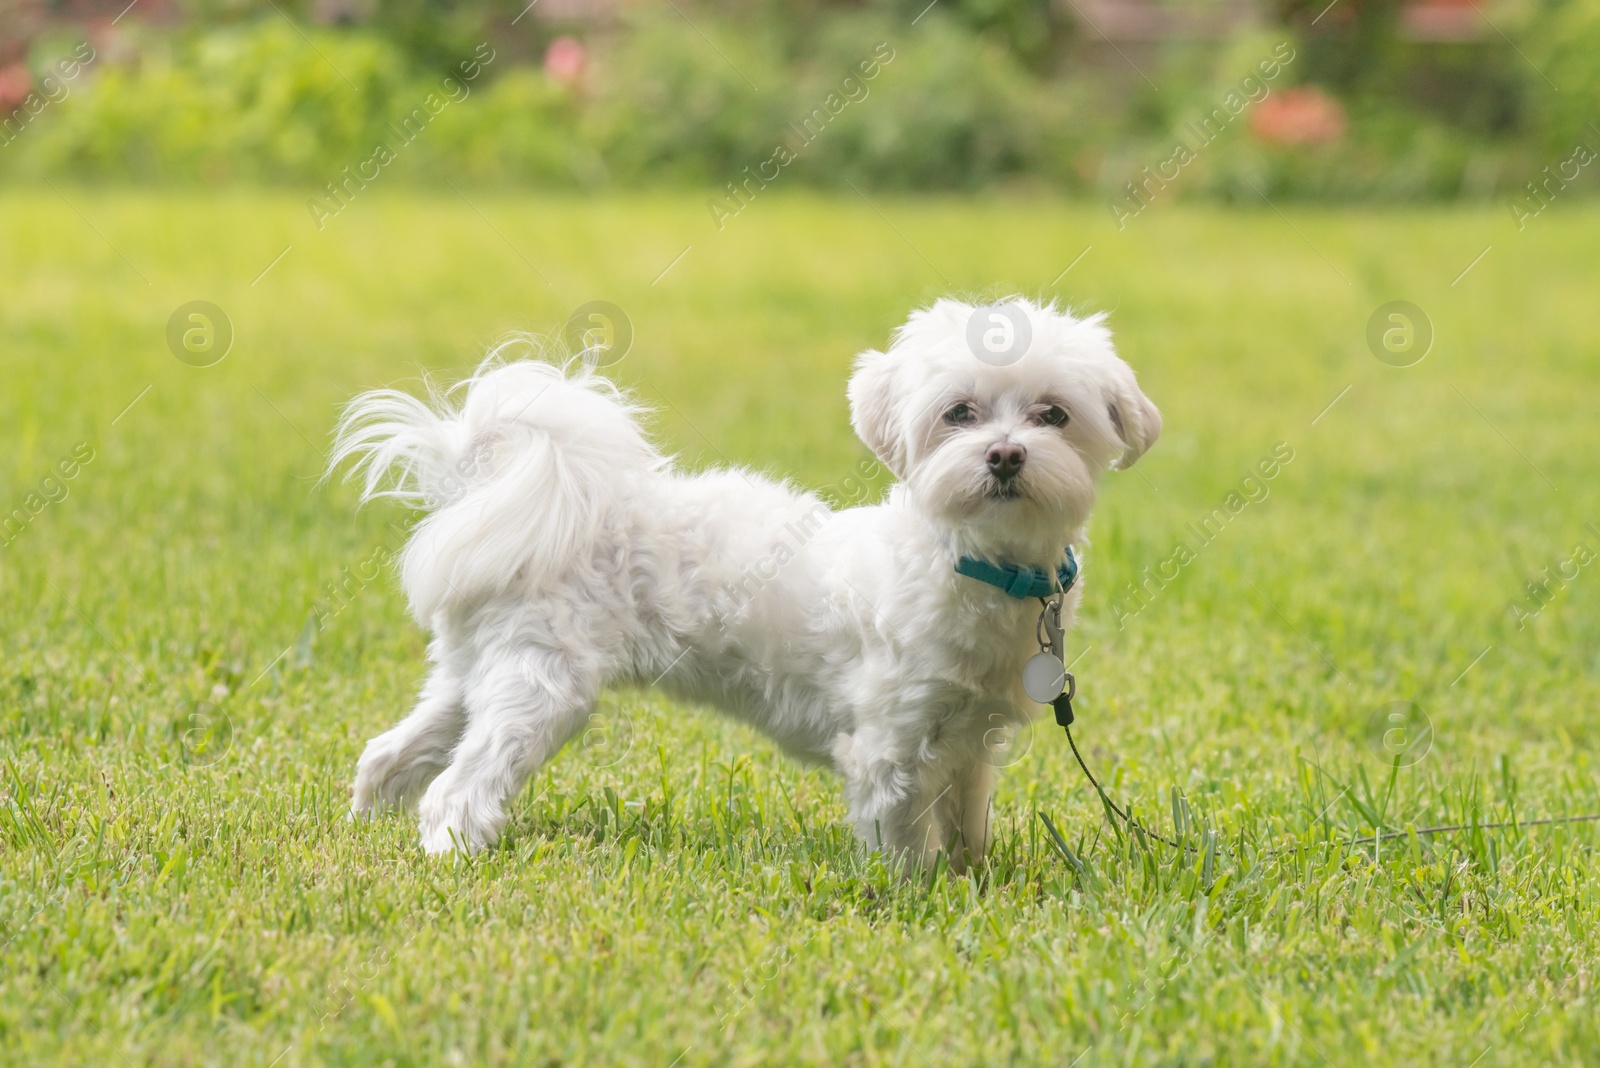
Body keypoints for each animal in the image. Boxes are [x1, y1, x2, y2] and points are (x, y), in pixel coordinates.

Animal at [331, 295, 1158, 863]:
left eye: (1055, 415)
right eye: (959, 413)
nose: (1006, 455)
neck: (972, 562)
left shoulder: (969, 744)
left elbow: (967, 828)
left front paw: (974, 883)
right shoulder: (889, 748)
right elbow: (904, 844)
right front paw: (919, 898)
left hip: (477, 672)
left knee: (391, 750)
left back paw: (367, 817)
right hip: (543, 682)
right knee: (458, 785)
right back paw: (454, 848)